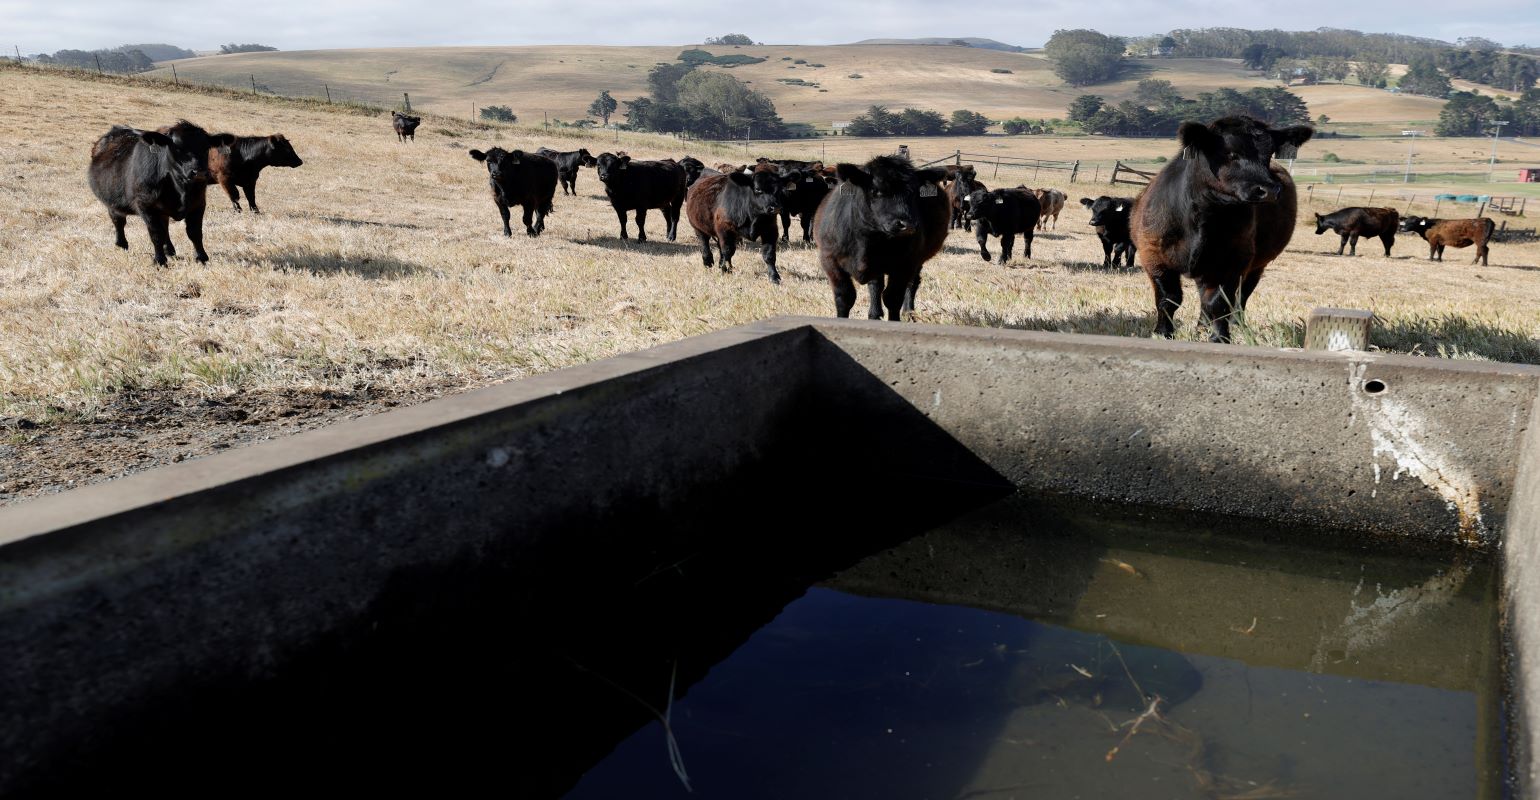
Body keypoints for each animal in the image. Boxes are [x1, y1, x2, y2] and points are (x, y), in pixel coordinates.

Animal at [86, 121, 232, 266]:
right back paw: (121, 244)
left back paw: (169, 250)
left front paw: (201, 257)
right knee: (119, 222)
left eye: (206, 148)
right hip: (112, 203)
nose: (199, 172)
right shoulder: (146, 206)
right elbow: (156, 235)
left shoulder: (198, 203)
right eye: (177, 148)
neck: (180, 189)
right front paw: (159, 261)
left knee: (165, 226)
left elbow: (194, 232)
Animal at [806, 153, 948, 319]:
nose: (907, 224)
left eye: (915, 193)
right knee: (876, 285)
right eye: (877, 191)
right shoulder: (830, 260)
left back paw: (908, 312)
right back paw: (875, 314)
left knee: (912, 283)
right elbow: (845, 297)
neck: (868, 239)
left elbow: (893, 298)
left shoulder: (905, 264)